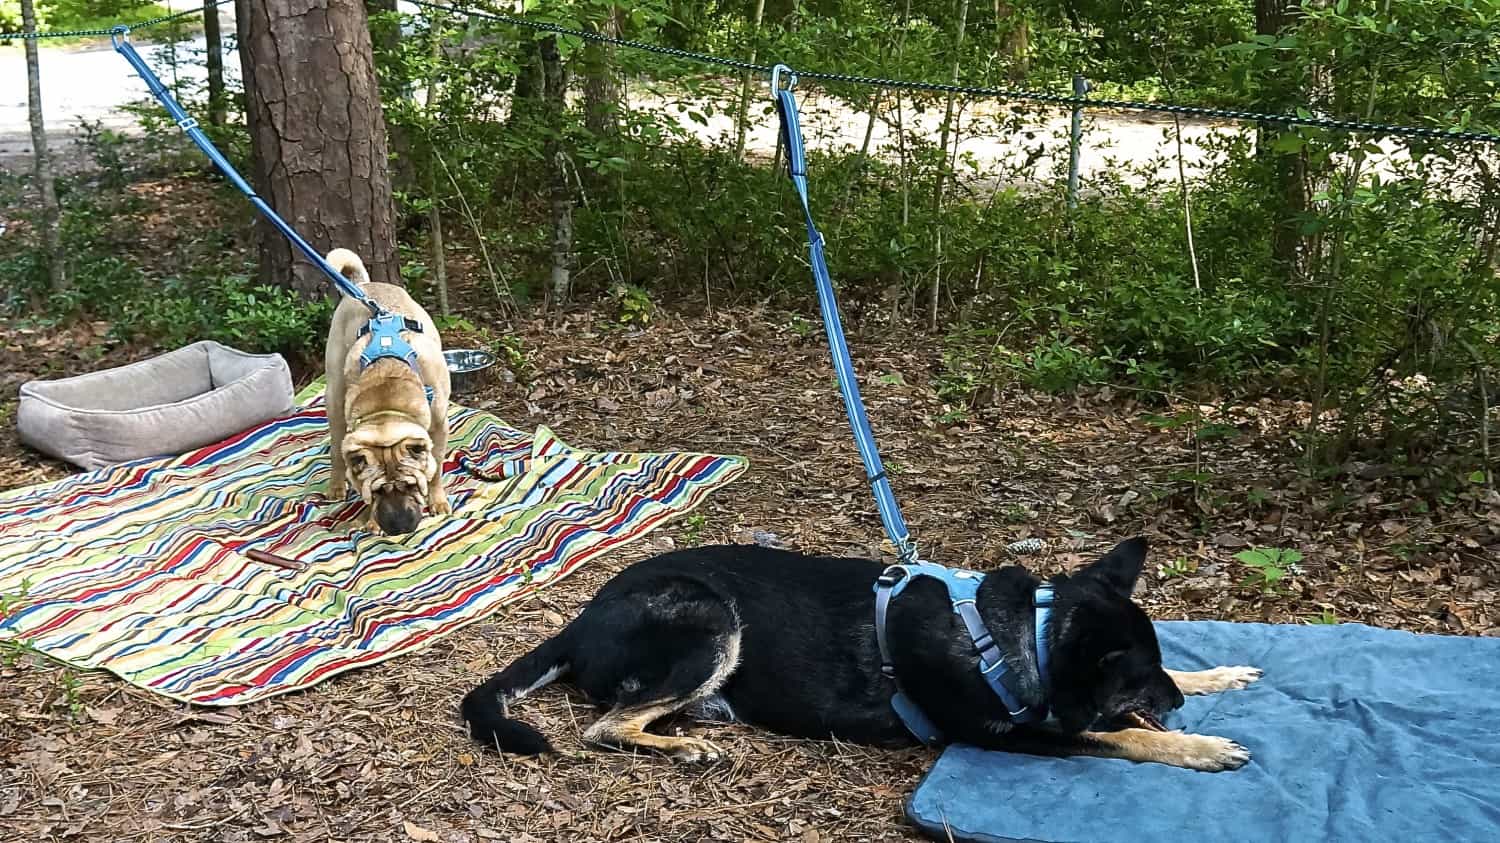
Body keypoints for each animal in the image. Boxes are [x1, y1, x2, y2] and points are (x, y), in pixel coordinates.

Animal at [462, 537, 1260, 768]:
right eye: (1135, 680)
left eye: (1155, 667)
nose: (1175, 703)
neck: (1018, 638)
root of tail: (578, 620)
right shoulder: (1014, 733)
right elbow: (1117, 735)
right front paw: (1202, 746)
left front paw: (1219, 674)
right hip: (710, 618)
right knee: (604, 725)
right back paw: (683, 746)